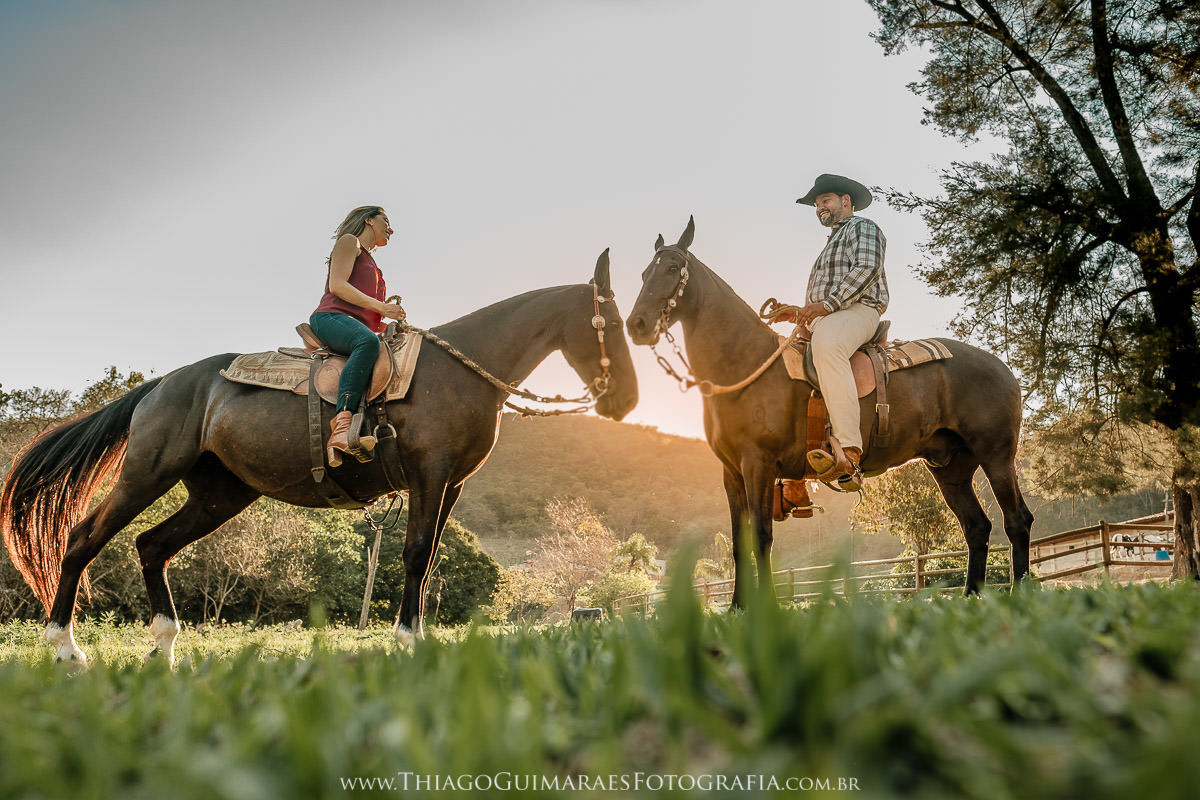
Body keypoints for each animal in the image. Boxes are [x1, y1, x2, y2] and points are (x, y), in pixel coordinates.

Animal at [1, 252, 637, 664]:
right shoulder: (429, 473)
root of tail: (163, 385)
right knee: (83, 539)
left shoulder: (451, 484)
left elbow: (428, 557)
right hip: (147, 474)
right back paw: (66, 650)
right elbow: (413, 555)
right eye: (609, 323)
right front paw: (409, 643)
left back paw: (166, 647)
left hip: (220, 494)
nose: (627, 400)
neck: (458, 370)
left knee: (151, 545)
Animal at [625, 218, 1032, 607]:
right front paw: (737, 608)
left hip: (996, 456)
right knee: (976, 527)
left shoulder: (758, 463)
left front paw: (766, 608)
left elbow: (761, 537)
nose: (636, 325)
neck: (745, 363)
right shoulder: (732, 473)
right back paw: (971, 596)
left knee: (1017, 520)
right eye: (644, 273)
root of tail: (1004, 369)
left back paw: (1021, 592)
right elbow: (740, 543)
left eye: (673, 268)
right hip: (950, 468)